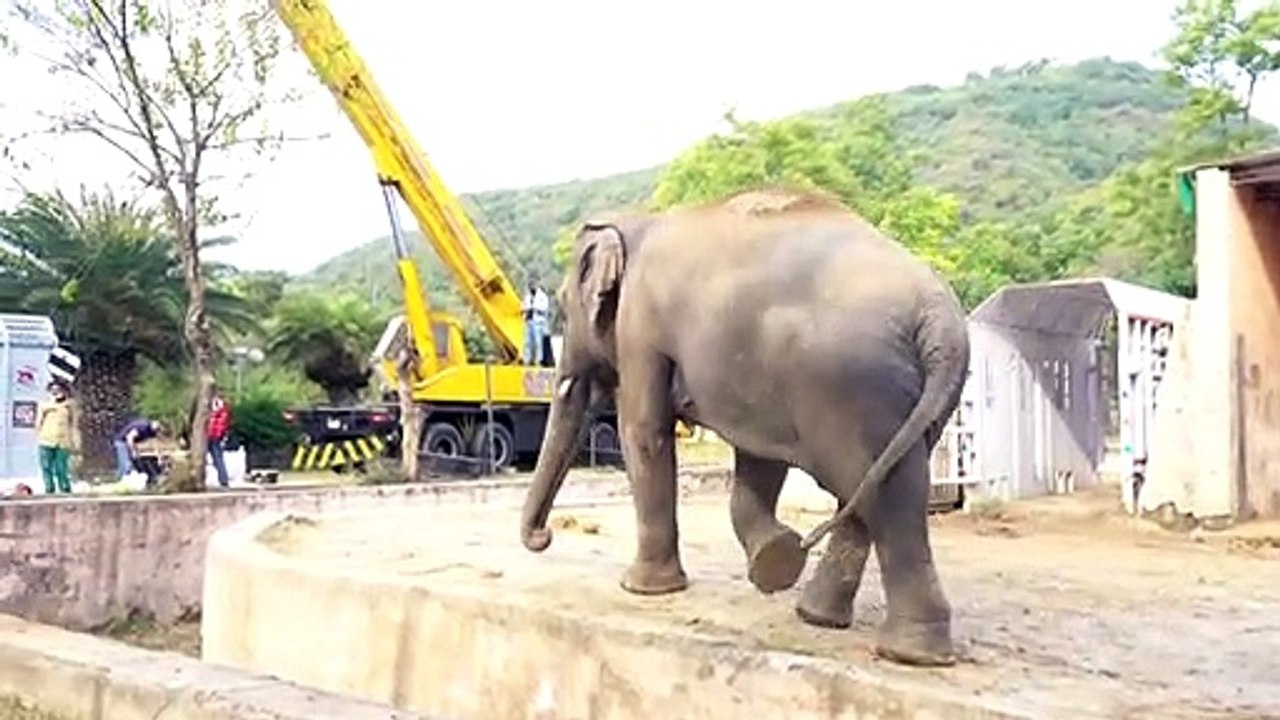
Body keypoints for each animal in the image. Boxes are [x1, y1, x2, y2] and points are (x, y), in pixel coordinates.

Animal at [518, 188, 971, 667]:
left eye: (562, 301)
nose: (544, 536)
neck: (639, 220)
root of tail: (940, 317)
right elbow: (760, 458)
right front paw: (773, 558)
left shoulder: (640, 326)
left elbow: (642, 429)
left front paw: (643, 589)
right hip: (909, 399)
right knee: (878, 487)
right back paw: (822, 619)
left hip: (853, 382)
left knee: (884, 497)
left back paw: (908, 653)